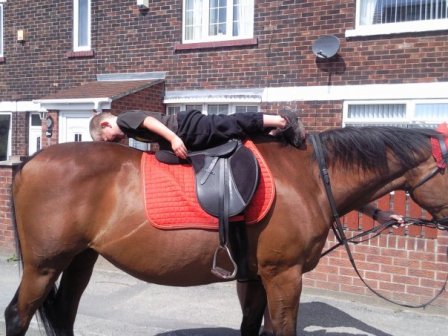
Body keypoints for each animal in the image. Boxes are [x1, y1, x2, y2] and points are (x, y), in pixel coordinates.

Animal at [3, 126, 448, 336]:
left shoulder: (257, 278)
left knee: (64, 314)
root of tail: (29, 161)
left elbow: (253, 327)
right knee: (17, 315)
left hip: (81, 260)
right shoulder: (283, 276)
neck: (308, 179)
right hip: (43, 266)